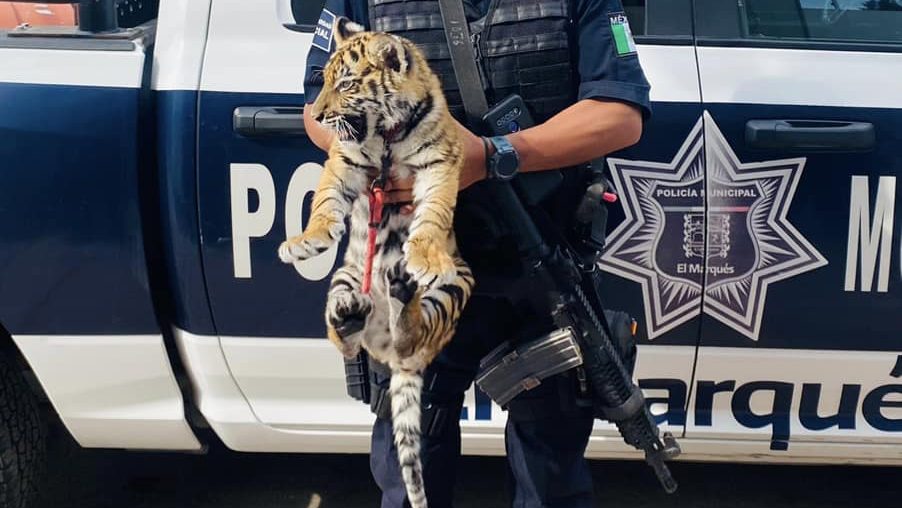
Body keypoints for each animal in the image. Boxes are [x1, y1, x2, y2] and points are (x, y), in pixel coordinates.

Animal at [277, 17, 474, 508]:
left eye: (346, 84)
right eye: (324, 81)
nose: (318, 115)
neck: (385, 131)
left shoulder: (442, 161)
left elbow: (434, 211)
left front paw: (423, 253)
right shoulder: (344, 159)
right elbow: (325, 201)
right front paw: (306, 240)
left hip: (455, 287)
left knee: (412, 335)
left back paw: (403, 286)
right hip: (346, 277)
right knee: (347, 339)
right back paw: (350, 316)